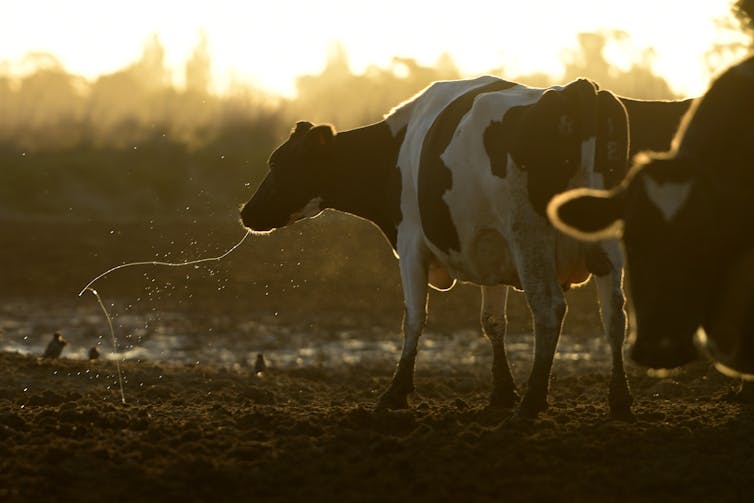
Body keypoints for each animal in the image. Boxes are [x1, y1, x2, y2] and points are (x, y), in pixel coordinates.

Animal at [241, 75, 688, 420]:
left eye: (279, 163)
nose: (246, 212)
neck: (398, 149)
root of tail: (578, 90)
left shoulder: (410, 244)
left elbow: (413, 319)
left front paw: (395, 392)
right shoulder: (489, 249)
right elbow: (492, 322)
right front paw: (501, 391)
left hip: (529, 235)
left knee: (549, 309)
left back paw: (532, 402)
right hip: (604, 244)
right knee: (615, 315)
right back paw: (619, 401)